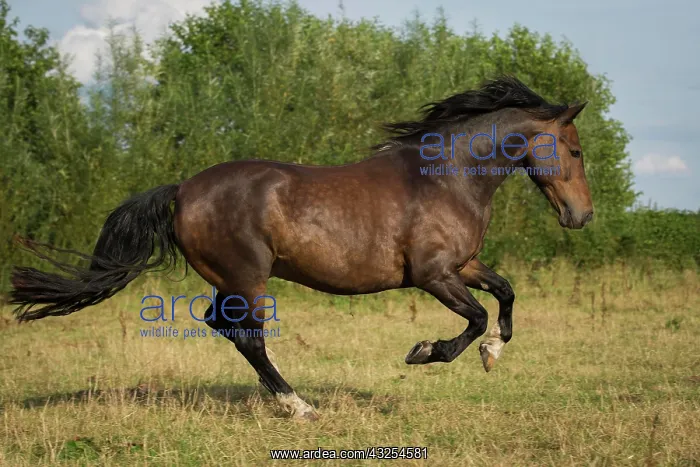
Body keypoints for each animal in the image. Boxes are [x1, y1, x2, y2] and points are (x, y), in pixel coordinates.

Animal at [9, 76, 593, 420]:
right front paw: (426, 352)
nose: (581, 216)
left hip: (231, 282)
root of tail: (182, 190)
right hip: (248, 279)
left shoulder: (463, 265)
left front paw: (494, 353)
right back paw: (299, 406)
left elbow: (505, 293)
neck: (446, 178)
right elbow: (474, 318)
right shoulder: (433, 275)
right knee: (248, 337)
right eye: (575, 150)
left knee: (224, 327)